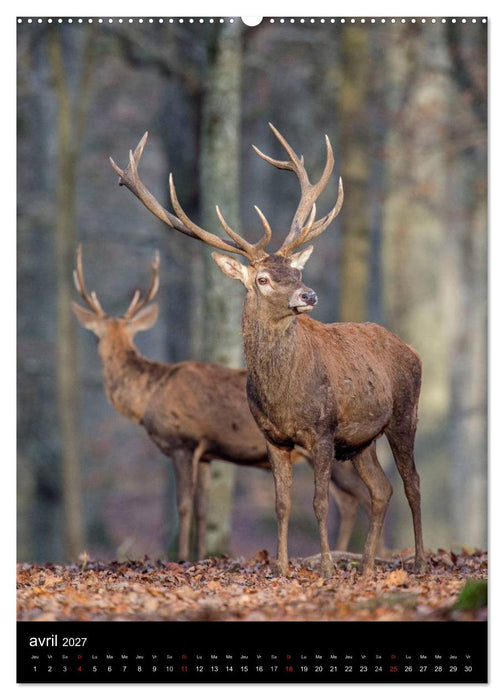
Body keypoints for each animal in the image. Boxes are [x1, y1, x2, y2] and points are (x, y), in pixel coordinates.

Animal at [72, 245, 374, 563]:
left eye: (95, 336)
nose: (100, 350)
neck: (149, 397)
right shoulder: (206, 453)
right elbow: (203, 510)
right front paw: (201, 555)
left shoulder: (183, 442)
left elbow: (183, 506)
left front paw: (181, 557)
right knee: (350, 502)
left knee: (365, 496)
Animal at [109, 125, 426, 578]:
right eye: (261, 278)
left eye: (296, 270)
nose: (308, 295)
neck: (283, 396)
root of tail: (411, 349)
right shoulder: (273, 437)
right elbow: (281, 504)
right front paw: (282, 568)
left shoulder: (322, 429)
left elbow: (319, 503)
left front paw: (326, 568)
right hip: (361, 438)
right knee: (381, 490)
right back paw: (366, 567)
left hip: (404, 414)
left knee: (412, 484)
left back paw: (417, 562)